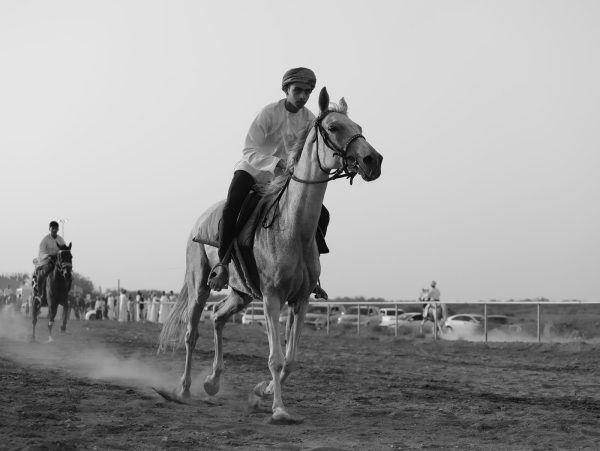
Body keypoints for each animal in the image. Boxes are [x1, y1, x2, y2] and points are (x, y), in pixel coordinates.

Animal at [158, 87, 383, 424]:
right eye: (333, 127)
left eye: (358, 126)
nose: (373, 160)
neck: (291, 228)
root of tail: (200, 221)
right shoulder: (272, 297)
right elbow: (276, 357)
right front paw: (279, 409)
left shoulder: (299, 299)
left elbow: (290, 360)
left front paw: (260, 392)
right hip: (200, 285)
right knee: (191, 332)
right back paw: (184, 389)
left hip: (241, 294)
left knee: (218, 317)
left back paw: (212, 382)